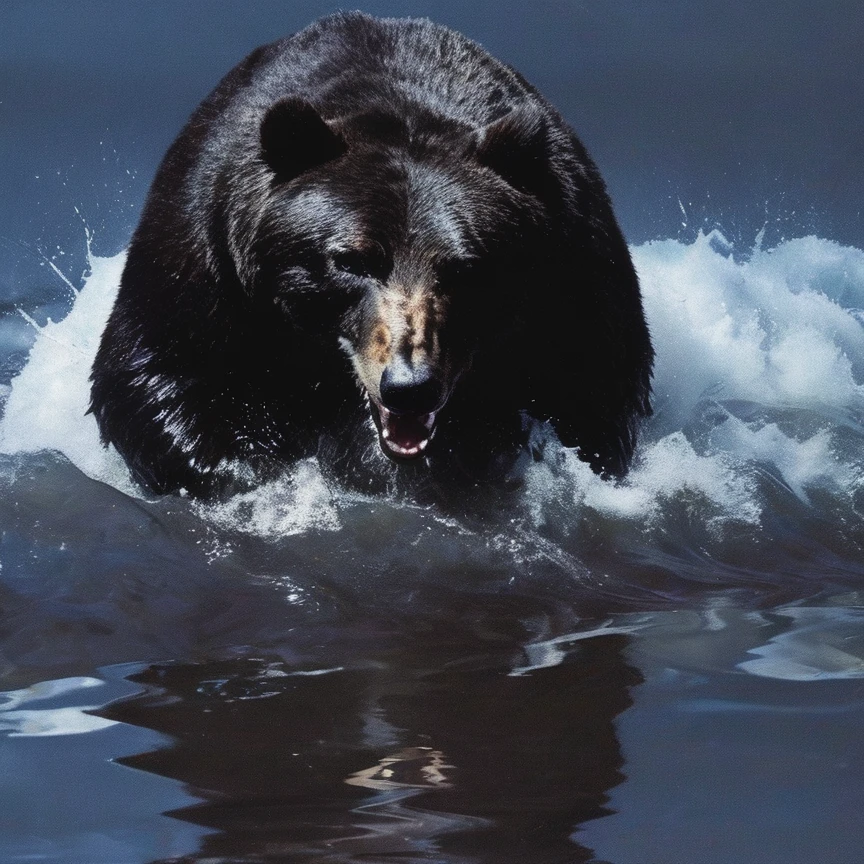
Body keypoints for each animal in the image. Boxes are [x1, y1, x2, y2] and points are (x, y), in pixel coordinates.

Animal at [89, 11, 656, 500]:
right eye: (351, 260)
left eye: (466, 266)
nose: (410, 386)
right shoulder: (205, 253)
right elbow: (157, 370)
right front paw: (250, 471)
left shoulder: (573, 272)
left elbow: (596, 393)